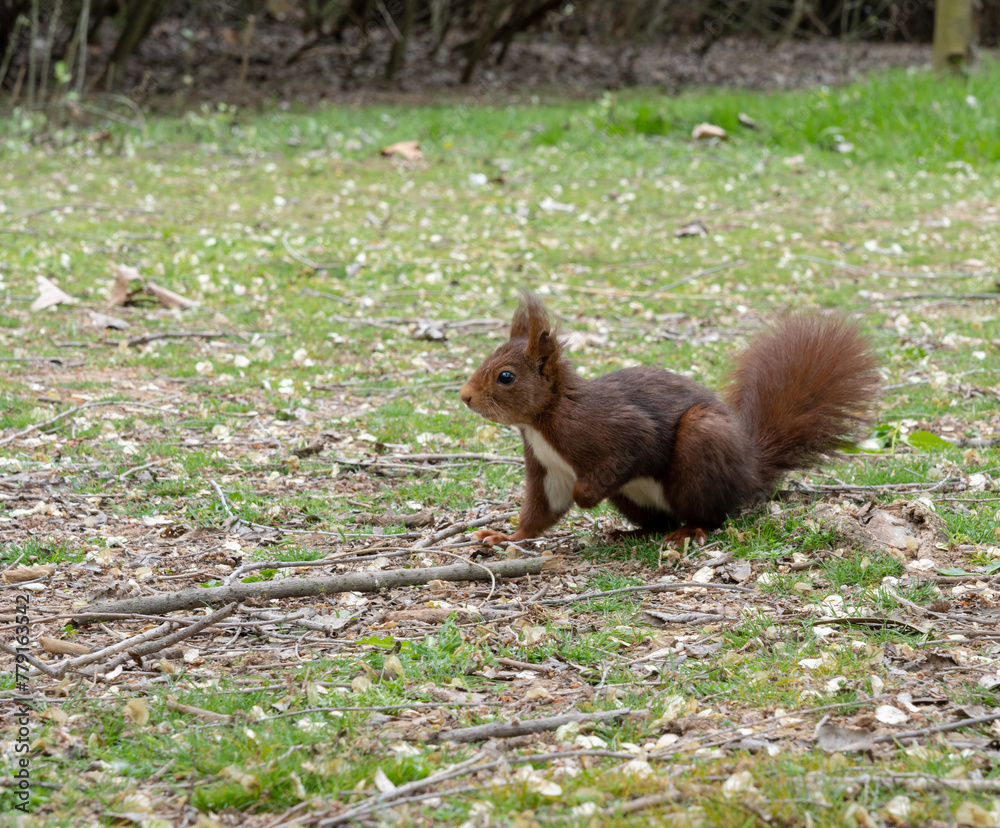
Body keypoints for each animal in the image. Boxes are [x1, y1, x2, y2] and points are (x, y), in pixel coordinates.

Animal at [459, 292, 880, 547]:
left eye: (506, 377)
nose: (464, 397)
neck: (542, 421)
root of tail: (750, 470)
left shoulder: (613, 428)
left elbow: (630, 449)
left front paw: (585, 496)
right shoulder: (547, 469)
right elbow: (542, 509)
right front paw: (506, 537)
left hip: (701, 444)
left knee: (710, 515)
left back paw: (688, 531)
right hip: (634, 498)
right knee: (659, 522)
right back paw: (628, 534)